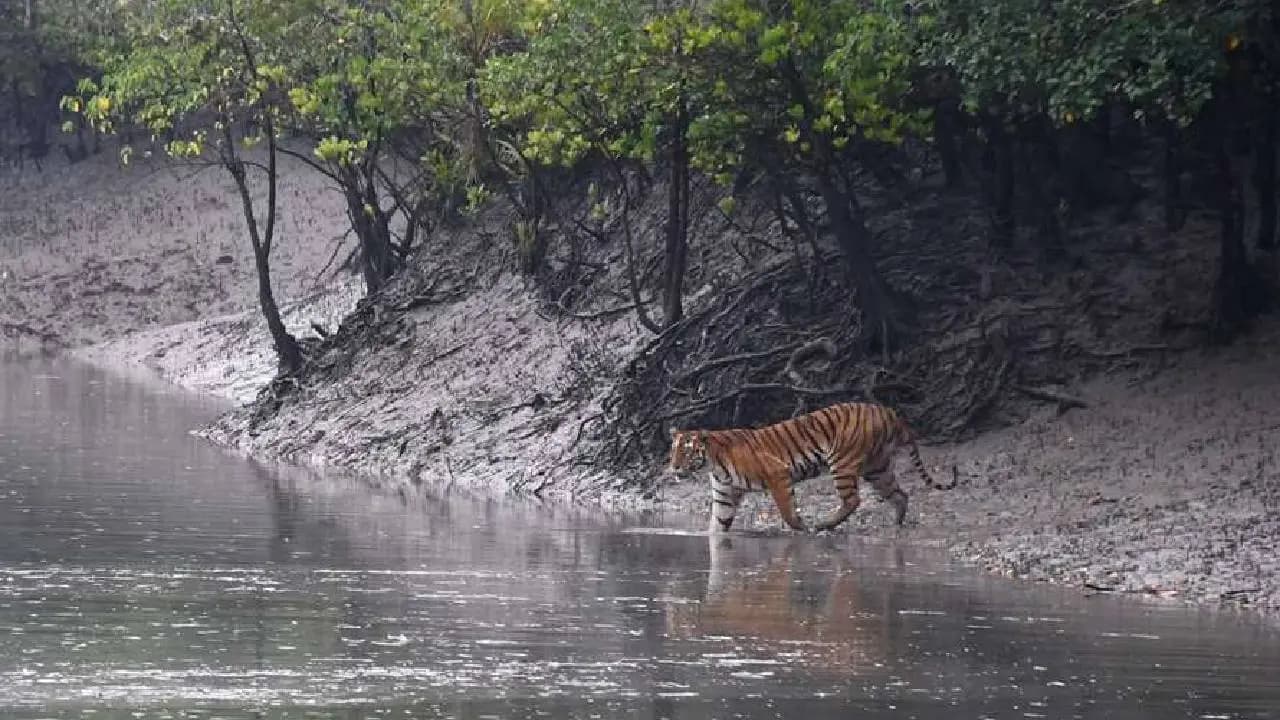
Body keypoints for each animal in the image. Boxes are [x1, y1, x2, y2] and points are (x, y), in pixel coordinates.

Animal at [666, 401, 957, 533]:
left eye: (686, 451)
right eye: (673, 451)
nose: (674, 468)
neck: (712, 463)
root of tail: (887, 411)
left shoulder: (778, 474)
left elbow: (787, 512)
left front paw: (801, 528)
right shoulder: (725, 495)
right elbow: (717, 526)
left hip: (843, 462)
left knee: (853, 500)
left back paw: (823, 525)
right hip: (878, 469)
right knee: (899, 494)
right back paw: (896, 524)